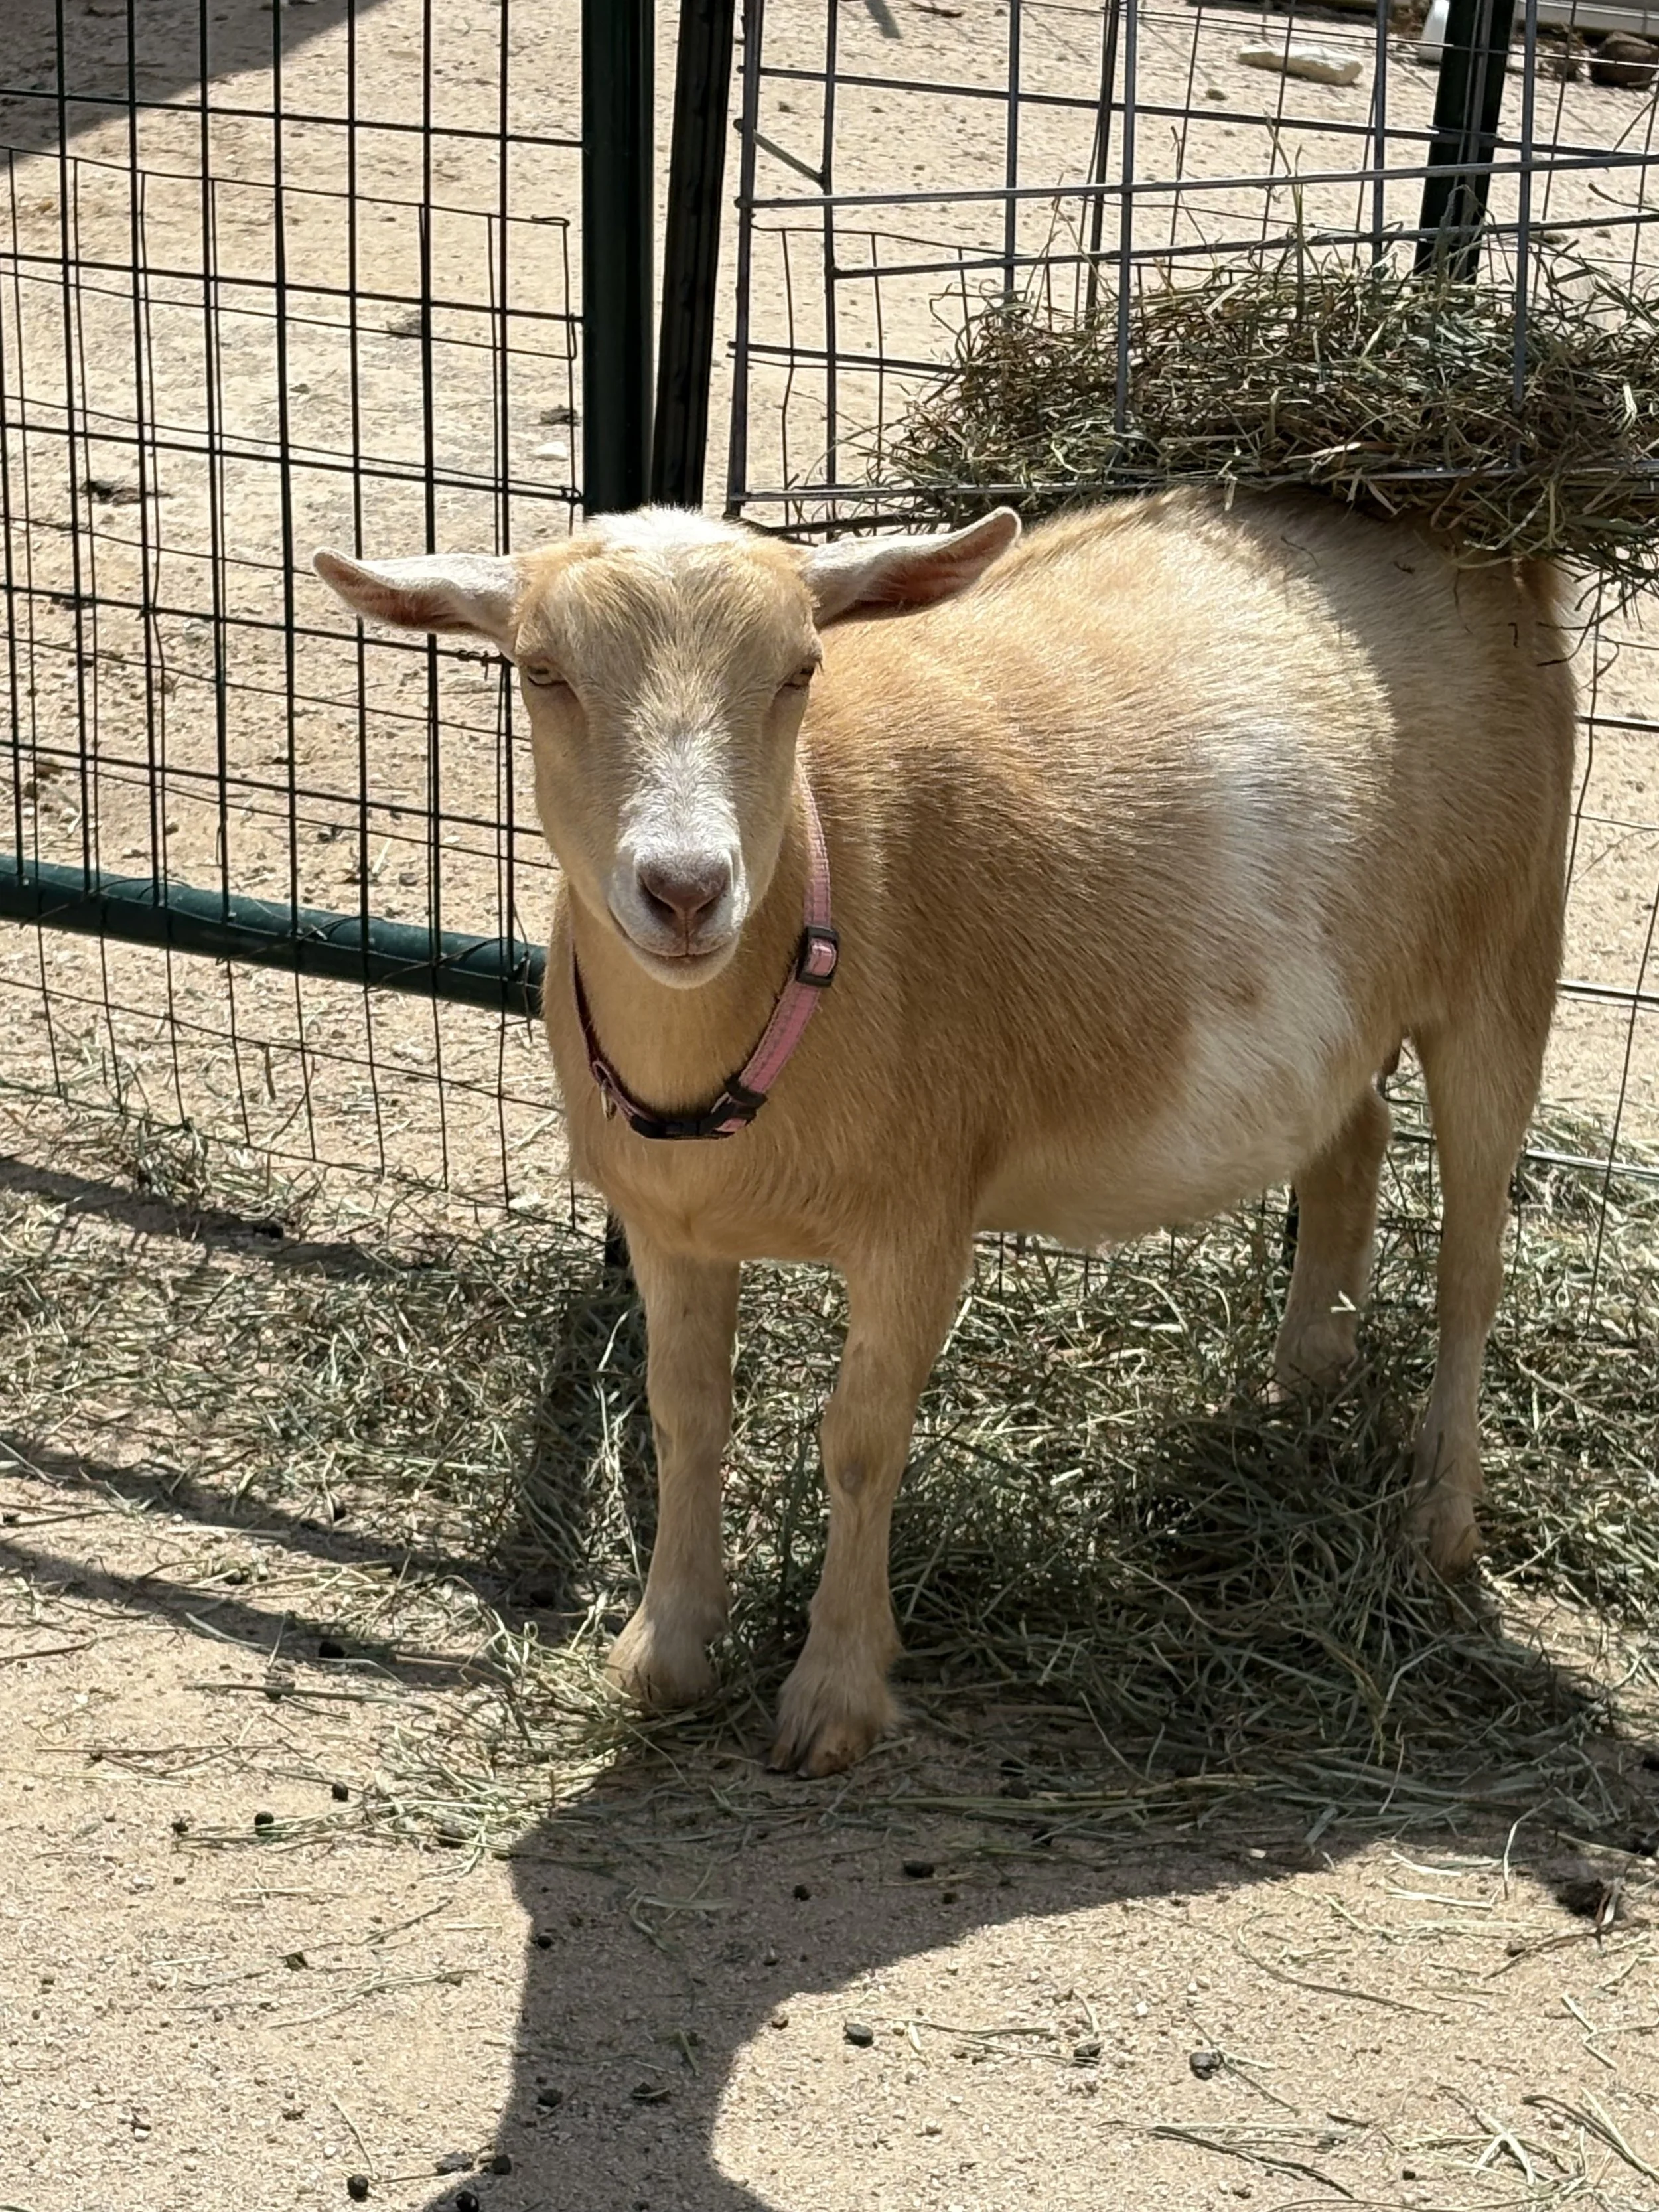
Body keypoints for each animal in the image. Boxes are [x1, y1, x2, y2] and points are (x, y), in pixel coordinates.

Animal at [316, 488, 1574, 1776]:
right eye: (541, 669)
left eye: (801, 667)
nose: (686, 889)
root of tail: (1483, 553)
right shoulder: (667, 1225)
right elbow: (683, 1415)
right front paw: (665, 1650)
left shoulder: (917, 1218)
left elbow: (860, 1441)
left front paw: (834, 1692)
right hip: (1331, 1021)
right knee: (1353, 1135)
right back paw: (1306, 1383)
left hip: (1511, 947)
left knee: (1474, 1262)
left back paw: (1440, 1519)